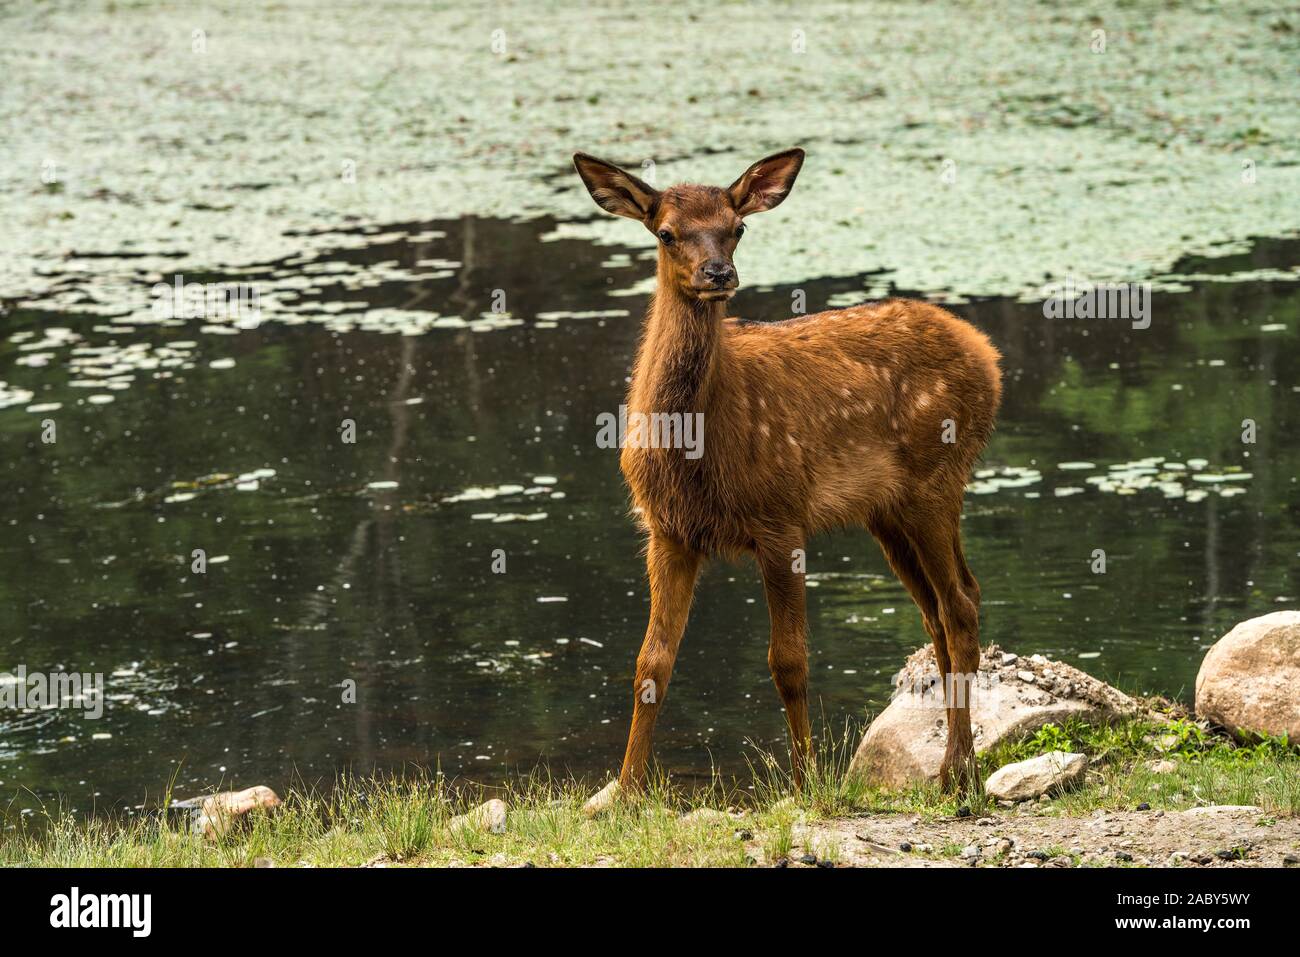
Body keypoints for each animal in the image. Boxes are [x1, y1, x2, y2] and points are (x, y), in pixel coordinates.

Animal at [572, 149, 1003, 816]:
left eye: (738, 227)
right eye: (665, 232)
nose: (719, 272)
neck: (695, 449)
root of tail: (989, 357)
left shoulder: (780, 516)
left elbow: (788, 661)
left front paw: (804, 784)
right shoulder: (667, 530)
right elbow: (651, 663)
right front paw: (625, 793)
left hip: (937, 479)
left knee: (958, 604)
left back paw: (959, 771)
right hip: (888, 510)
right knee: (941, 607)